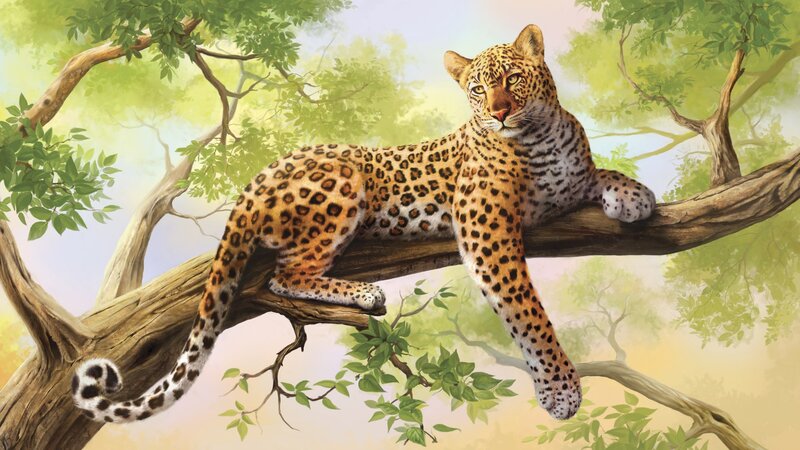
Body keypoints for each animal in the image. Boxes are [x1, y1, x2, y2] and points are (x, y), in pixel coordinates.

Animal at [73, 24, 655, 424]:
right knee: (285, 274)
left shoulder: (566, 184)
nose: (499, 112)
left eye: (512, 78)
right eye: (476, 89)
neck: (540, 136)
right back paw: (365, 294)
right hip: (343, 183)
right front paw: (560, 388)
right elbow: (527, 311)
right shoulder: (485, 229)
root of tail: (257, 179)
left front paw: (635, 195)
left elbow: (598, 172)